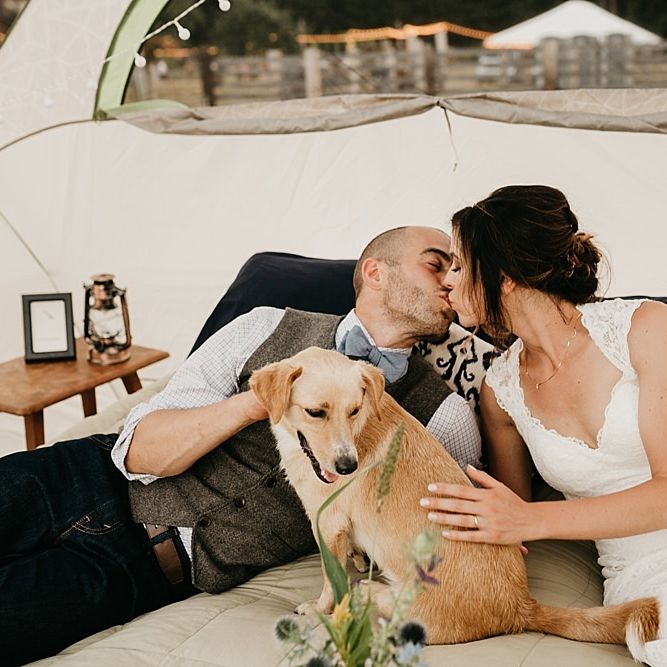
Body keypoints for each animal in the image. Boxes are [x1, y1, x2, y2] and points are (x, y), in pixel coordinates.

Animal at [250, 347, 659, 646]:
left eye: (354, 410)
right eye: (315, 412)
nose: (348, 467)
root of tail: (521, 607)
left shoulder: (328, 526)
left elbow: (329, 580)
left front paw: (318, 609)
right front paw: (354, 559)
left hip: (404, 602)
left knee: (373, 596)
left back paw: (365, 592)